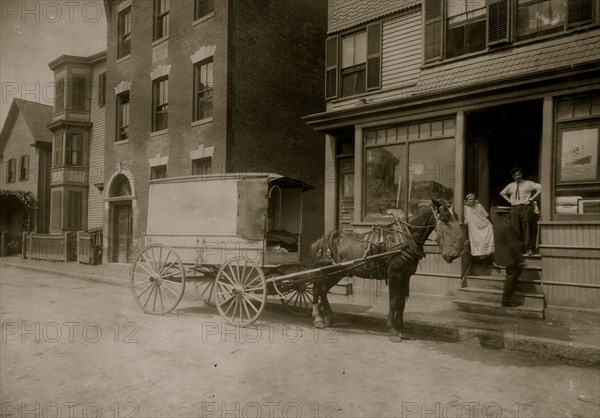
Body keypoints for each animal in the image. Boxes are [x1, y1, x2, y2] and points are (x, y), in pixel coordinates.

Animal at [310, 198, 464, 340]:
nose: (454, 254)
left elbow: (401, 303)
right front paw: (393, 329)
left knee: (323, 290)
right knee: (317, 289)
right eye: (444, 215)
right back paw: (318, 318)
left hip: (337, 273)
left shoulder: (406, 276)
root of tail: (322, 240)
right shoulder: (394, 275)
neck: (404, 239)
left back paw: (329, 318)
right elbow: (394, 301)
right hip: (324, 271)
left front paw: (400, 329)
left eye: (455, 215)